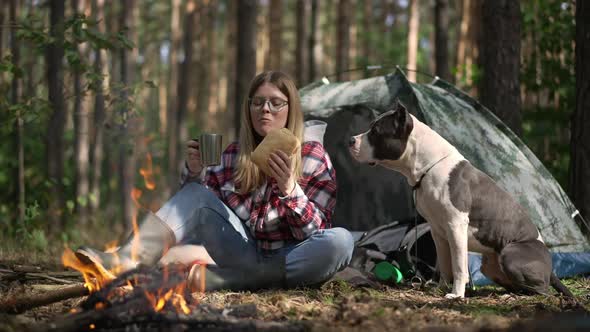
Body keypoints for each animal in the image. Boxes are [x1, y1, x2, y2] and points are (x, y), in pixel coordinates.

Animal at [350, 100, 576, 298]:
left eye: (376, 131)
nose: (351, 140)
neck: (427, 166)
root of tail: (550, 267)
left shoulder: (456, 225)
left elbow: (458, 266)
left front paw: (456, 295)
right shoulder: (437, 231)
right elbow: (444, 264)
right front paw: (439, 288)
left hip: (510, 254)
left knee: (543, 290)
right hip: (489, 265)